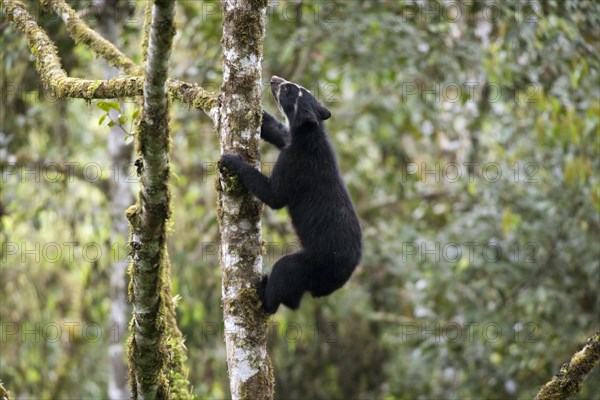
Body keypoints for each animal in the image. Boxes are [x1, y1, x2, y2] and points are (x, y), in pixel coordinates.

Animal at [219, 74, 360, 312]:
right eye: (296, 87)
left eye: (288, 90)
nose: (275, 79)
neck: (309, 135)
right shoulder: (290, 141)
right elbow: (279, 132)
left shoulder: (295, 164)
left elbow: (274, 195)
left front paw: (230, 160)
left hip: (312, 264)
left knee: (284, 272)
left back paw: (263, 294)